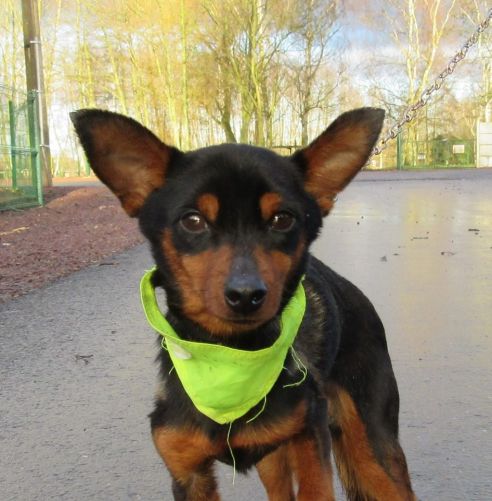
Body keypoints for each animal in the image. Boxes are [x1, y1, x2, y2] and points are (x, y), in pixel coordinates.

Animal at [70, 107, 416, 498]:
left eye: (283, 218)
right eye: (193, 220)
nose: (246, 295)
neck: (226, 357)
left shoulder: (311, 442)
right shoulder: (188, 474)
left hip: (372, 447)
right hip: (274, 461)